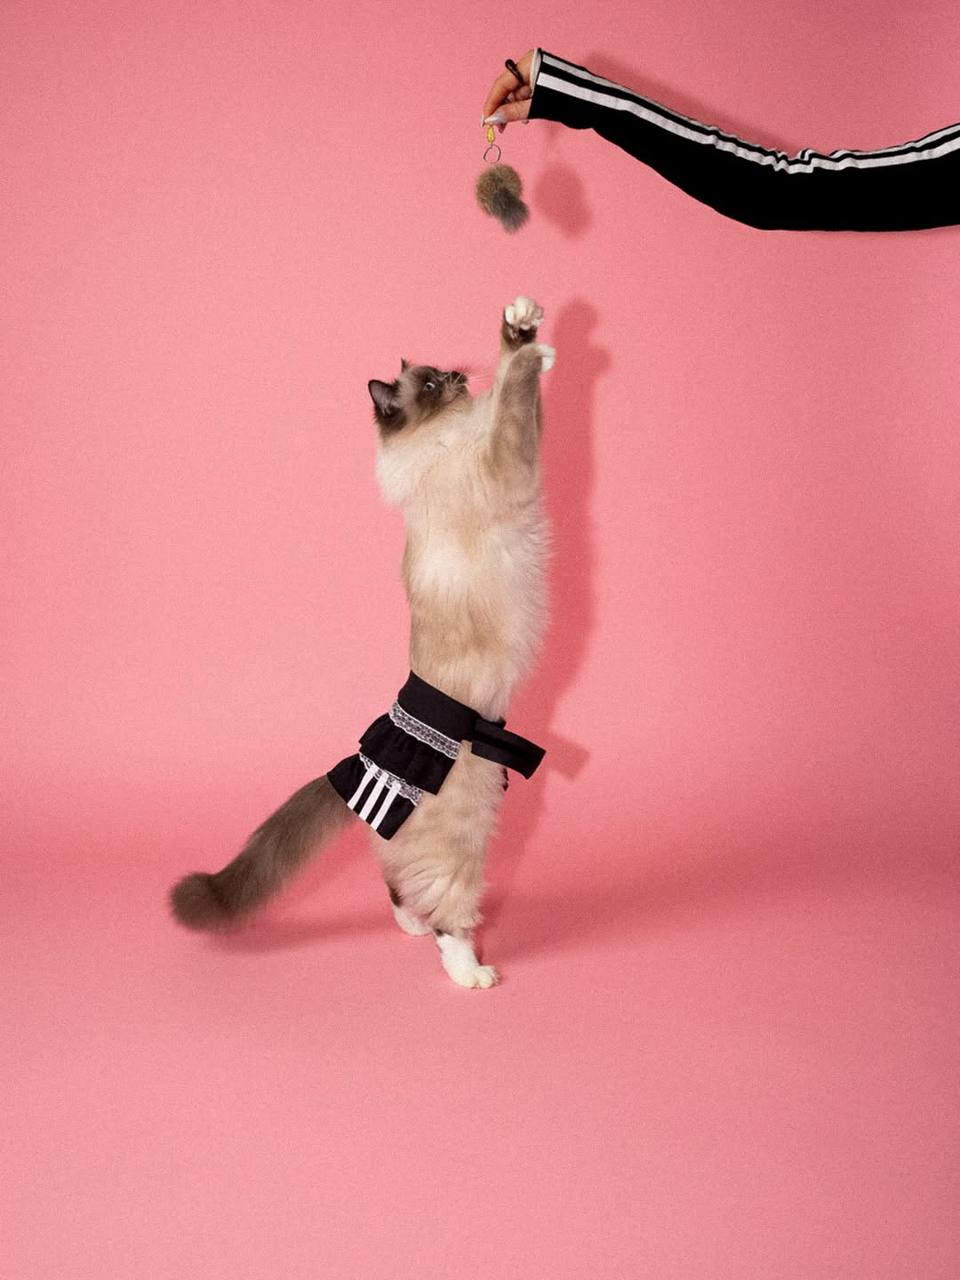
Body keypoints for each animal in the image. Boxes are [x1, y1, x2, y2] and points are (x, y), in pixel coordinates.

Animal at [170, 296, 554, 988]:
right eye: (427, 386)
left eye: (442, 375)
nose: (456, 376)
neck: (445, 438)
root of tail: (365, 762)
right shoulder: (505, 461)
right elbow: (517, 395)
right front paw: (524, 338)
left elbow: (518, 394)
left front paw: (525, 327)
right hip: (466, 837)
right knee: (444, 909)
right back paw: (471, 973)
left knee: (399, 886)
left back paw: (413, 930)